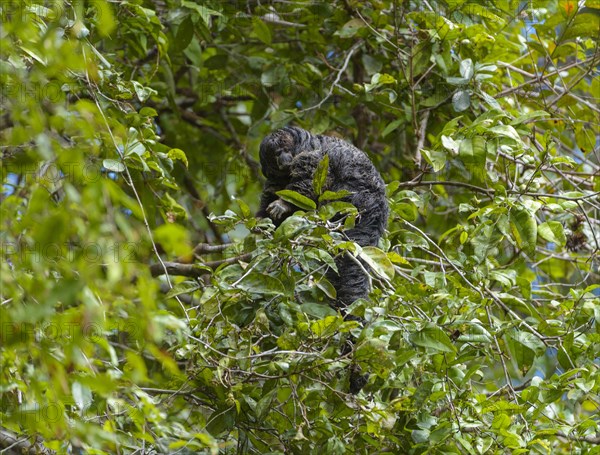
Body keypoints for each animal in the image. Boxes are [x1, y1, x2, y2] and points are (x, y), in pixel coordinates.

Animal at [258, 124, 390, 310]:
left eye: (284, 150)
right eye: (276, 155)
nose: (283, 159)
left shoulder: (315, 156)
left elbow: (312, 177)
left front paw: (283, 204)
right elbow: (273, 189)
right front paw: (263, 222)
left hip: (358, 202)